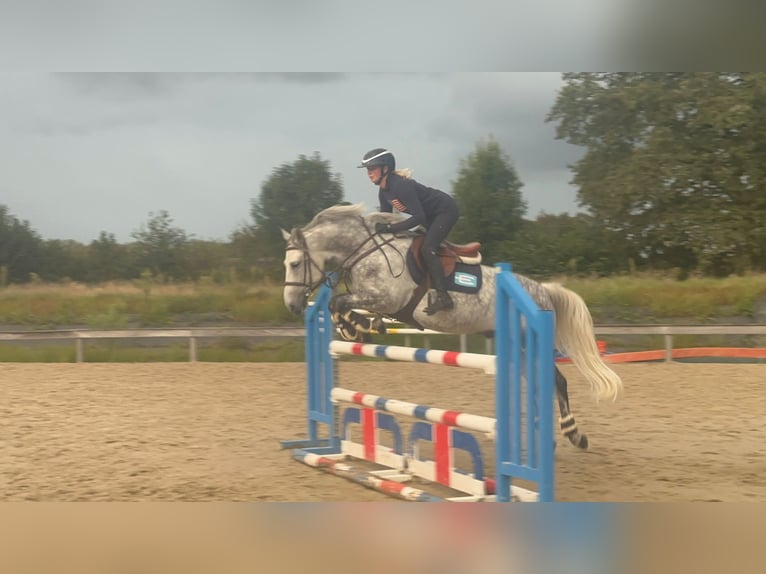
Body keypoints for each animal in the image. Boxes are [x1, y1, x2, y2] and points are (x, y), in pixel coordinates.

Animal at [282, 205, 624, 452]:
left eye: (295, 264)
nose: (292, 305)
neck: (366, 251)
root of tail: (542, 291)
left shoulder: (386, 298)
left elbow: (338, 302)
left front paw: (358, 327)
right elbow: (336, 305)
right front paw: (356, 329)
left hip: (529, 342)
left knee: (557, 381)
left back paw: (574, 434)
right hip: (518, 347)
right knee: (541, 384)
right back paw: (547, 440)